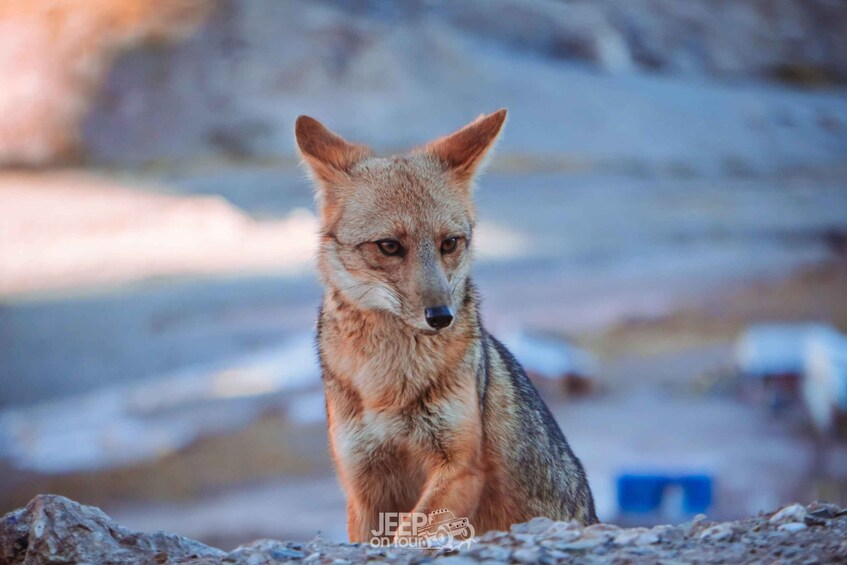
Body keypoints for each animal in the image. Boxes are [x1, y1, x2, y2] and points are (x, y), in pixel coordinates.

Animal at [294, 106, 600, 540]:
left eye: (449, 243)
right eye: (389, 246)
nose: (441, 316)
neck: (389, 386)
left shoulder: (461, 466)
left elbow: (409, 534)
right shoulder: (362, 486)